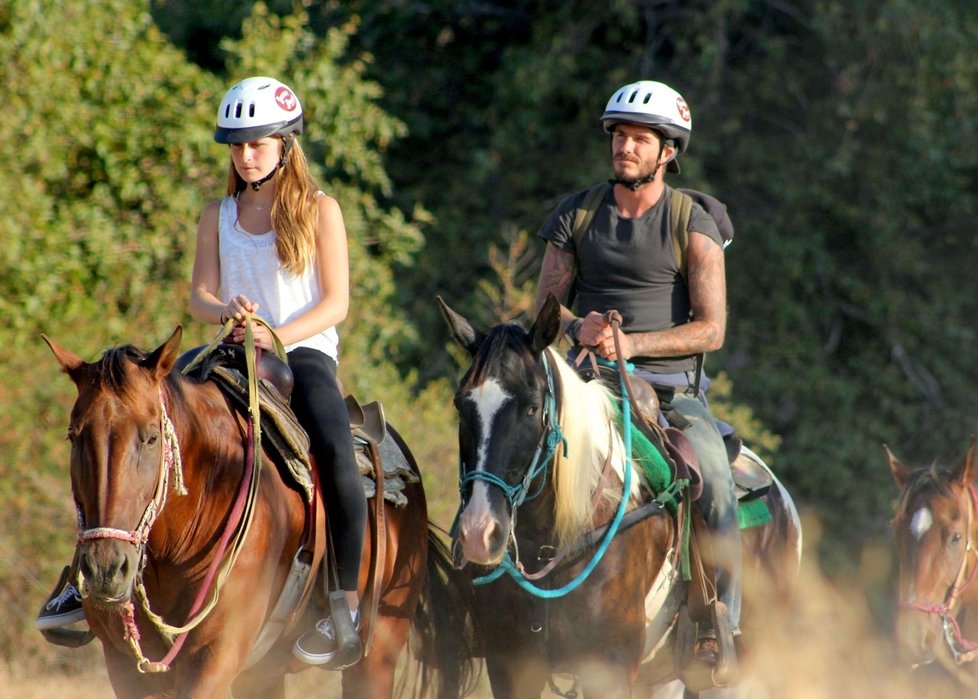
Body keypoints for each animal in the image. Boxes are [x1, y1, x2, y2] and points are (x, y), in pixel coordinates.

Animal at [44, 328, 468, 699]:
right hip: (265, 672)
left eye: (151, 436)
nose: (105, 568)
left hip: (376, 656)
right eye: (74, 436)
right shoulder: (125, 666)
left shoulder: (215, 659)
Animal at [438, 296, 796, 699]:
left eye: (531, 407)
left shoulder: (611, 668)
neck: (549, 546)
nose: (479, 533)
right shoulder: (510, 667)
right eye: (461, 405)